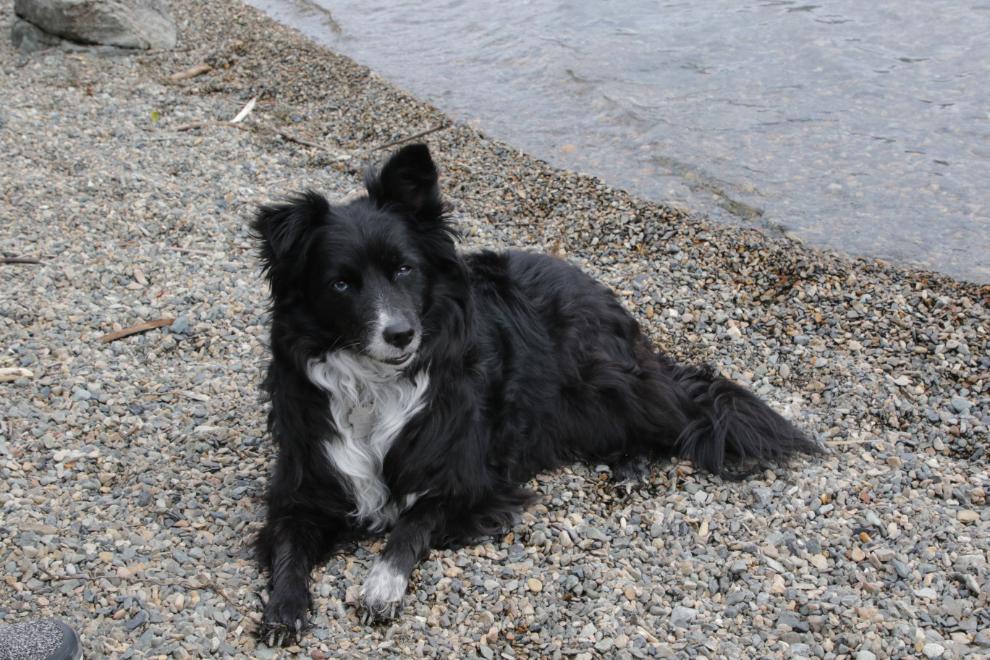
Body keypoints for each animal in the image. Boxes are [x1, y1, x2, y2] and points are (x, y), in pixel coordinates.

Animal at [250, 143, 820, 636]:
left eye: (405, 269)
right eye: (341, 284)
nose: (401, 334)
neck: (377, 386)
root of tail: (600, 291)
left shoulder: (469, 482)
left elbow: (410, 525)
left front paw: (382, 585)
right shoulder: (302, 485)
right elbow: (288, 545)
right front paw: (284, 607)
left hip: (603, 385)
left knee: (675, 419)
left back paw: (632, 466)